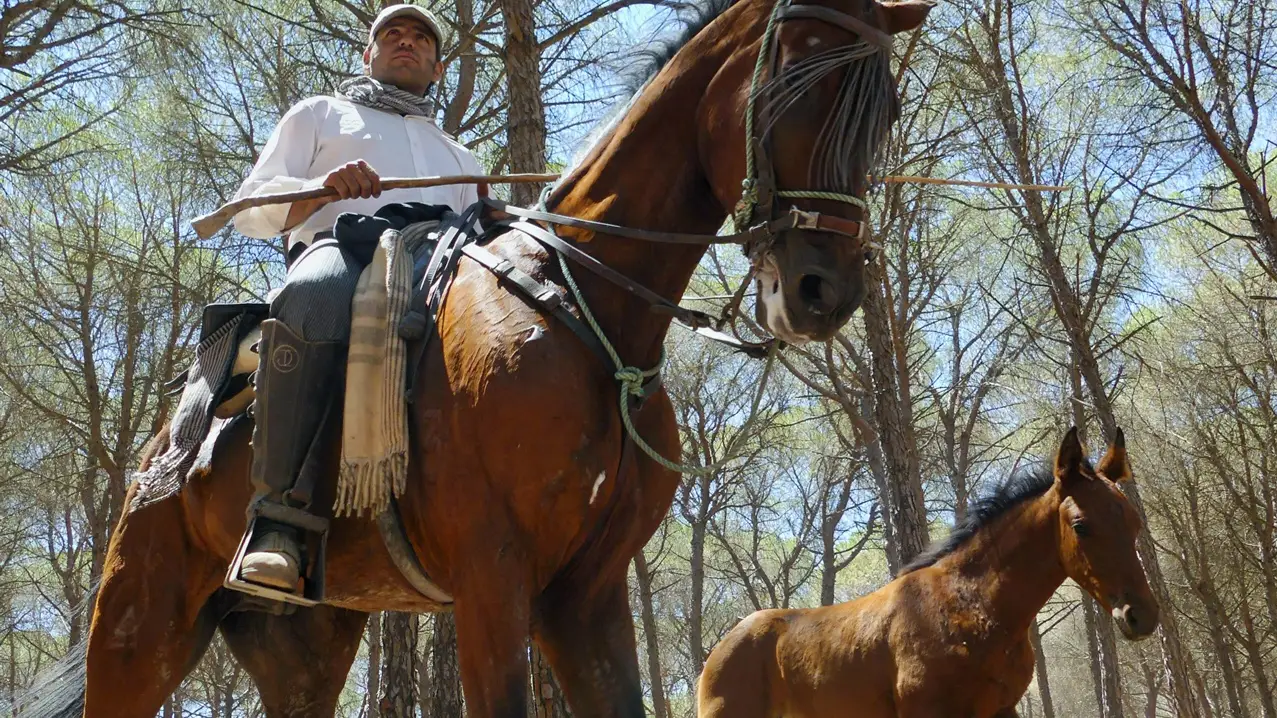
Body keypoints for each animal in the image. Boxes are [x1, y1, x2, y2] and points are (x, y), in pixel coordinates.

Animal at [64, 1, 934, 715]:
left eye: (885, 108)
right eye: (789, 88)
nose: (823, 289)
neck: (582, 307)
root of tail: (167, 443)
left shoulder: (585, 596)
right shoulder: (494, 580)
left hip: (302, 643)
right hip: (139, 630)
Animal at [699, 424, 1159, 715]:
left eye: (1135, 522)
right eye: (1081, 525)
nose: (1142, 615)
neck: (968, 608)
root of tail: (718, 650)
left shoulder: (1001, 710)